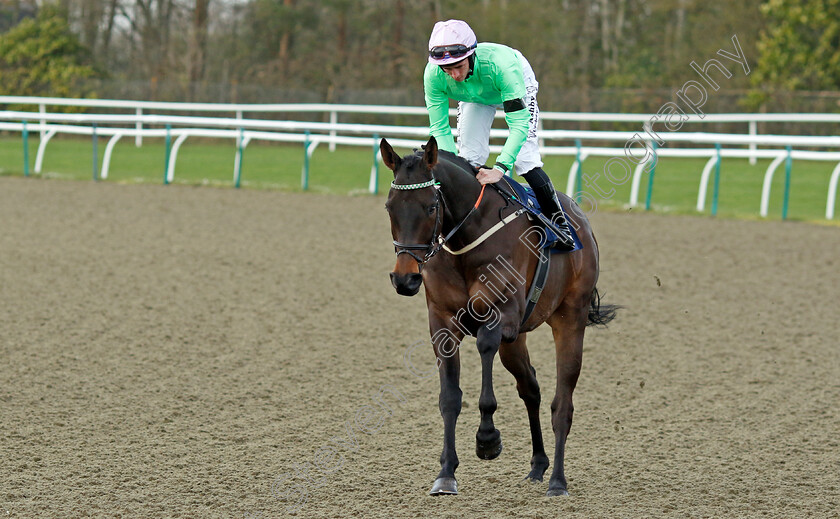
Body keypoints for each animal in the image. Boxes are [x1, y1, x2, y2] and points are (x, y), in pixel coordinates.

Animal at [382, 136, 616, 498]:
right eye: (390, 207)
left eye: (431, 207)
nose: (405, 279)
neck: (467, 236)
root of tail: (582, 225)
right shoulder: (442, 323)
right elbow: (450, 398)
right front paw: (446, 473)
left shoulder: (503, 315)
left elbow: (485, 346)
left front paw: (487, 439)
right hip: (517, 341)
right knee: (530, 388)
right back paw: (538, 465)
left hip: (570, 319)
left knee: (562, 403)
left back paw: (557, 481)